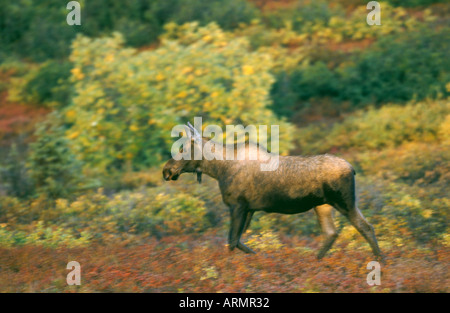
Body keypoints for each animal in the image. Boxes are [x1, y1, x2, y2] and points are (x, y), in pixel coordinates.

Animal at [163, 122, 382, 258]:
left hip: (344, 201)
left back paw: (381, 261)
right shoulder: (249, 208)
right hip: (322, 205)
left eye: (183, 148)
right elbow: (238, 241)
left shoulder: (237, 205)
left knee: (365, 227)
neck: (219, 170)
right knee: (331, 233)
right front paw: (259, 257)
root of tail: (352, 168)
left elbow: (232, 241)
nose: (166, 170)